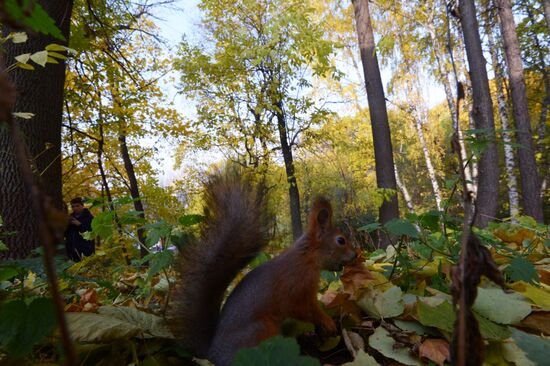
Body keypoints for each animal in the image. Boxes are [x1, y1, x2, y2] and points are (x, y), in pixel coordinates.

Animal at [168, 172, 358, 366]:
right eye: (341, 240)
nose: (355, 255)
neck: (306, 258)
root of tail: (212, 355)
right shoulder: (297, 287)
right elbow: (305, 309)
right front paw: (327, 322)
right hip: (261, 331)